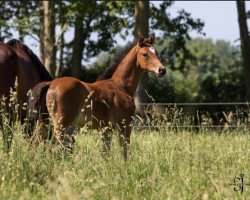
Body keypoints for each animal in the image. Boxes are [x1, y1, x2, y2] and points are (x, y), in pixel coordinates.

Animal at [29, 34, 166, 159]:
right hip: (60, 124)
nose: (162, 70)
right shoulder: (125, 124)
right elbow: (125, 151)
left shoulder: (106, 129)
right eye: (145, 54)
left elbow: (106, 152)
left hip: (44, 122)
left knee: (38, 141)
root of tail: (51, 84)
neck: (120, 86)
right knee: (56, 146)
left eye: (157, 53)